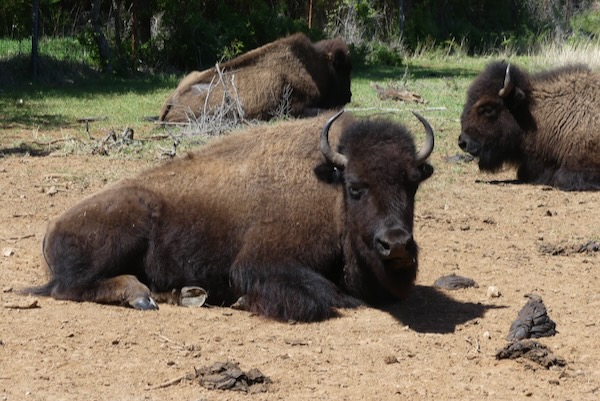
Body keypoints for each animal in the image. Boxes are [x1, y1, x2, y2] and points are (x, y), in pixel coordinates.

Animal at [25, 110, 434, 322]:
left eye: (412, 183)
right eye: (355, 187)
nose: (396, 243)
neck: (328, 188)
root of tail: (51, 227)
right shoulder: (261, 262)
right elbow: (322, 298)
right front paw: (240, 301)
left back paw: (185, 294)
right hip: (126, 232)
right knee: (70, 287)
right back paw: (141, 296)